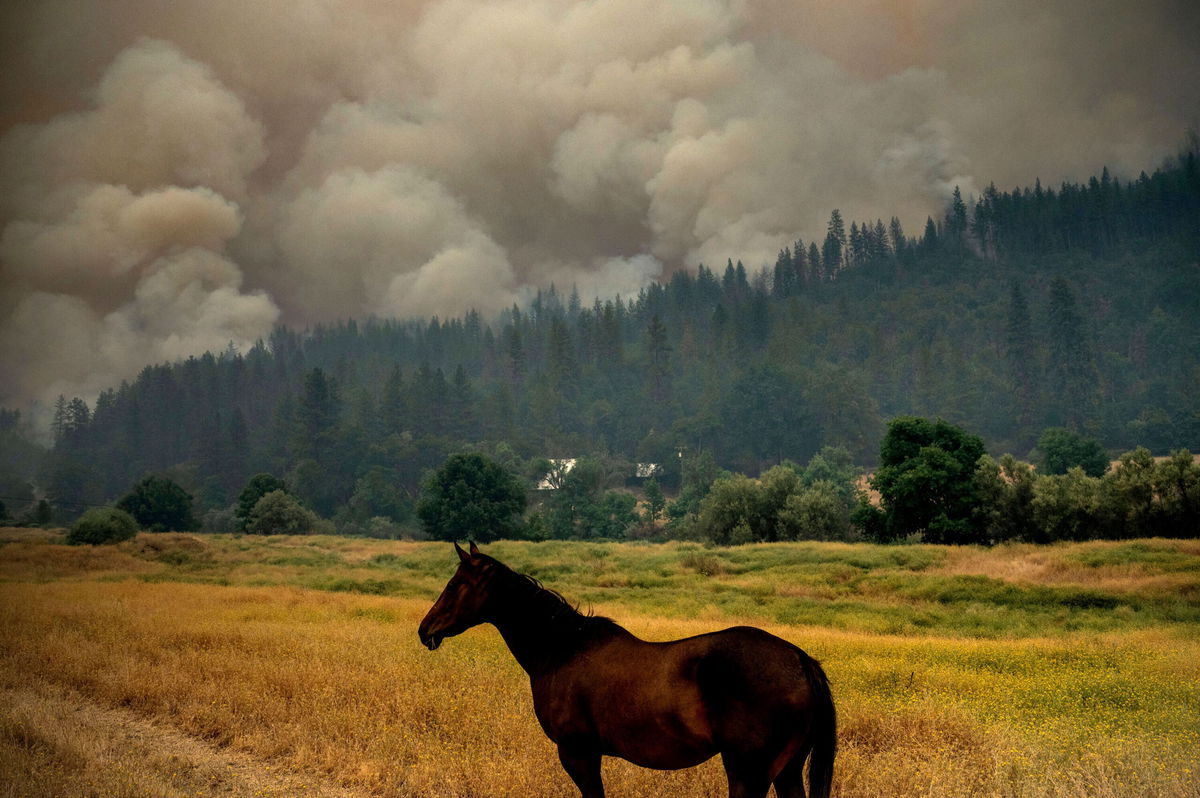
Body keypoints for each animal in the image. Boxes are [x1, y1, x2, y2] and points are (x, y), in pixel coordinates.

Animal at [420, 542, 835, 796]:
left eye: (454, 584)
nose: (426, 630)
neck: (561, 648)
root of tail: (801, 661)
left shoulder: (578, 753)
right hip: (786, 770)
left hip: (749, 772)